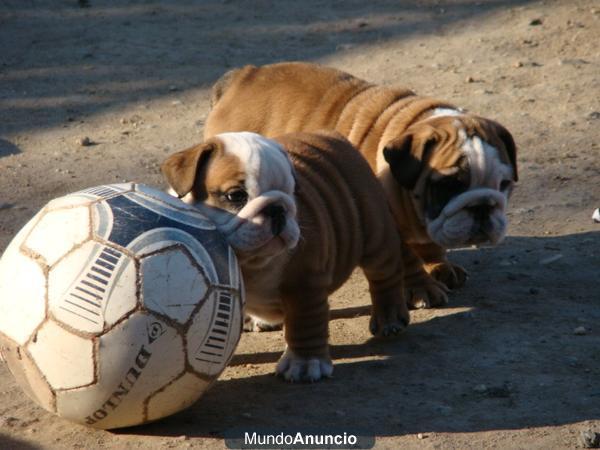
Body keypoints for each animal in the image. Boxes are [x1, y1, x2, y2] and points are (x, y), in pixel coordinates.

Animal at [162, 131, 410, 384]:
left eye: (291, 192)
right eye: (236, 196)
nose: (277, 208)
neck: (251, 262)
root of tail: (333, 136)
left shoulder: (305, 283)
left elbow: (305, 323)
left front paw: (306, 363)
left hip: (375, 232)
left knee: (384, 275)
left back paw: (389, 318)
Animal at [205, 61, 516, 310]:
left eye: (504, 184)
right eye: (449, 185)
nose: (483, 206)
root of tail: (243, 75)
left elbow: (429, 244)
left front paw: (440, 265)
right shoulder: (386, 223)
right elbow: (407, 258)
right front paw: (422, 287)